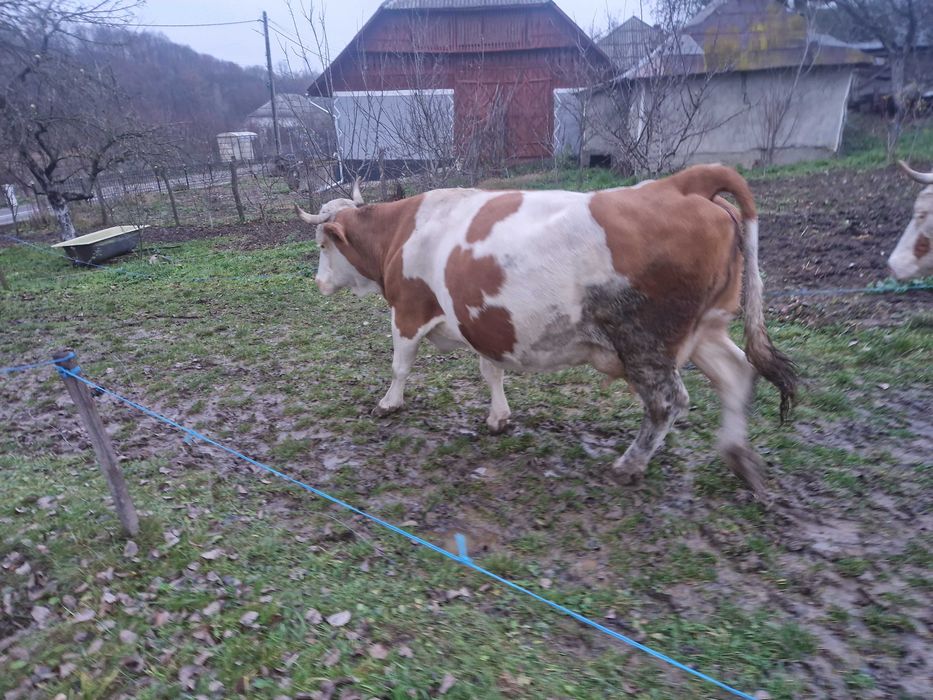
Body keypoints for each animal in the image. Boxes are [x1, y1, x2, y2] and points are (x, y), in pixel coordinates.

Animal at [296, 166, 797, 500]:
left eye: (322, 244)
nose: (318, 284)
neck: (401, 230)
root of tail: (681, 183)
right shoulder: (482, 318)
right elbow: (491, 371)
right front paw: (499, 417)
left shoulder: (408, 310)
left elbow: (400, 365)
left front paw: (388, 404)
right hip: (707, 329)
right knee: (737, 374)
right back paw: (739, 457)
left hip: (645, 342)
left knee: (668, 402)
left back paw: (628, 465)